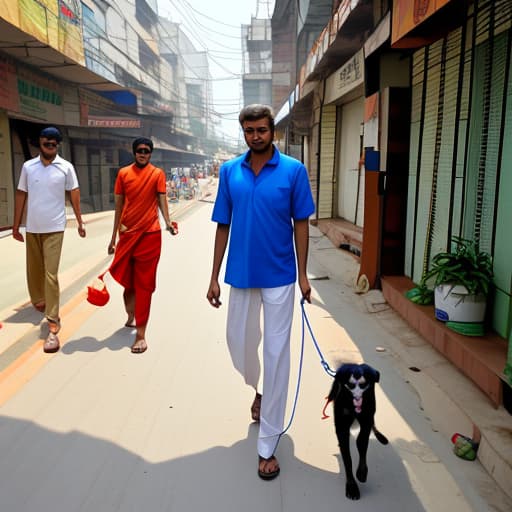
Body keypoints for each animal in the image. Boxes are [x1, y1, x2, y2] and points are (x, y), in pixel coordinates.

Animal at [328, 364, 388, 500]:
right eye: (349, 385)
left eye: (363, 385)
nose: (358, 399)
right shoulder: (342, 427)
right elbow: (347, 458)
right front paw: (351, 485)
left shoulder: (366, 419)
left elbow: (361, 441)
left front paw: (361, 472)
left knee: (372, 425)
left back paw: (380, 435)